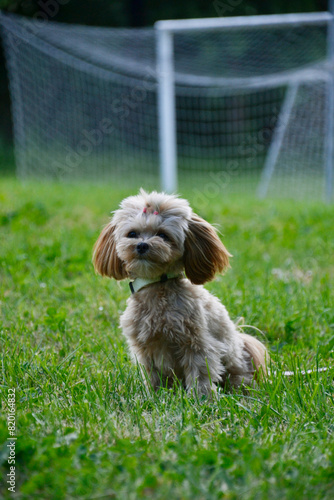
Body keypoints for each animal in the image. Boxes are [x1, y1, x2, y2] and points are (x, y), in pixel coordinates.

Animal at [92, 189, 268, 396]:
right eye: (132, 233)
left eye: (163, 235)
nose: (142, 245)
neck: (156, 285)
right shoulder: (144, 348)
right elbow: (152, 376)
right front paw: (153, 395)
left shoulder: (197, 343)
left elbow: (200, 373)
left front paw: (201, 398)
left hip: (235, 366)